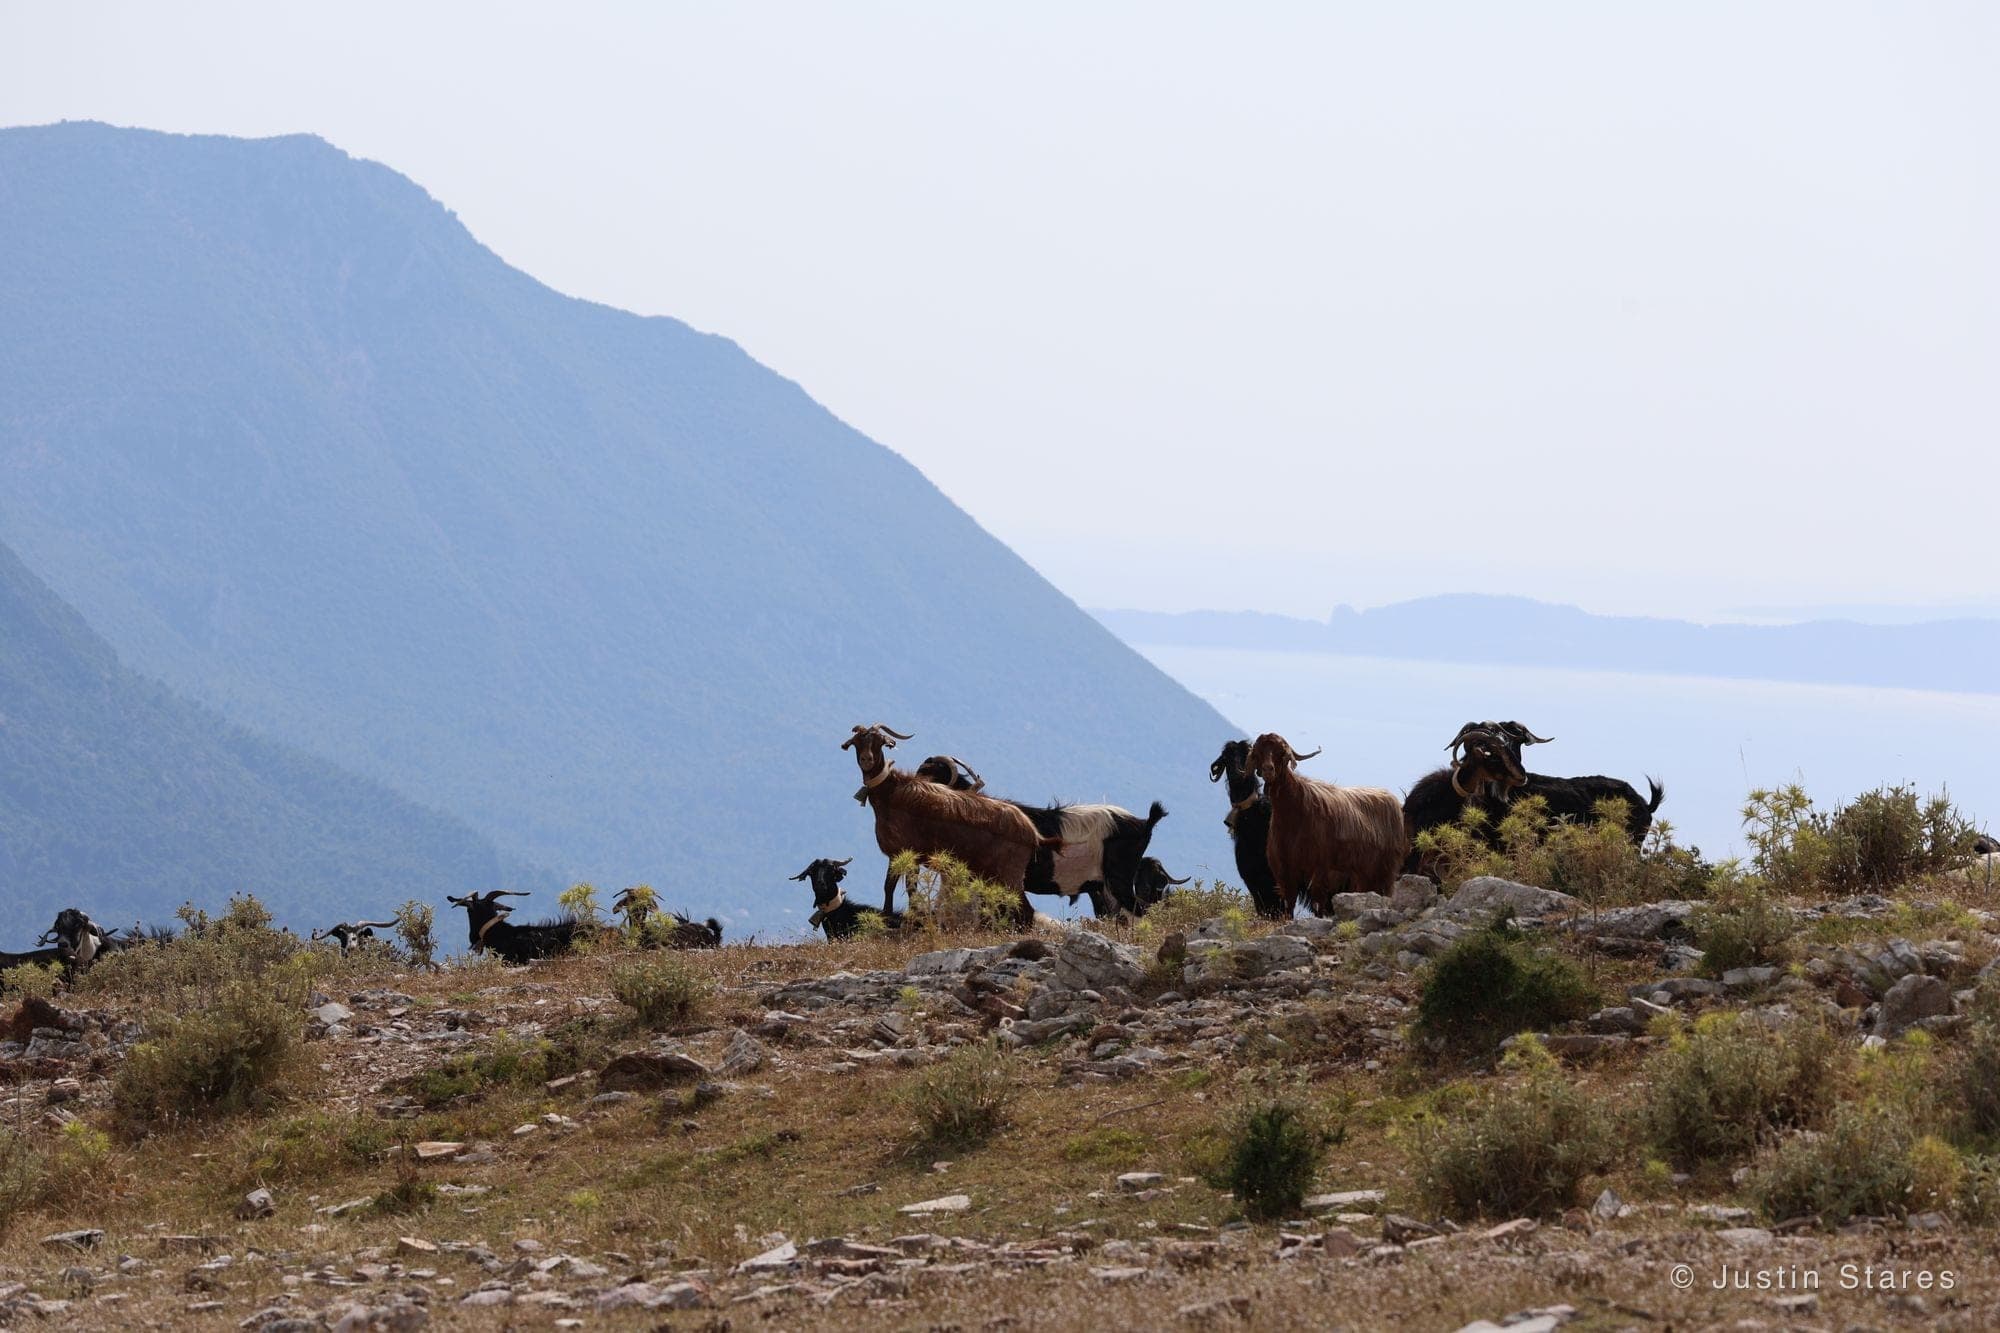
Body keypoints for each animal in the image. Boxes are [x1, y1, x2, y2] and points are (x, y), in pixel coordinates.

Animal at [844, 724, 1047, 924]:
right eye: (857, 742)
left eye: (879, 741)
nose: (867, 760)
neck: (891, 793)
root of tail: (1033, 834)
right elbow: (904, 889)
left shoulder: (901, 853)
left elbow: (893, 887)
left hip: (1009, 874)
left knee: (1025, 910)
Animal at [1247, 733, 1407, 916]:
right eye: (1258, 752)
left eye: (1281, 752)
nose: (1268, 770)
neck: (1293, 816)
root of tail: (1394, 800)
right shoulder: (1285, 872)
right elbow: (1289, 905)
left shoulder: (1320, 869)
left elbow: (1318, 903)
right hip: (1362, 872)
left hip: (1386, 868)